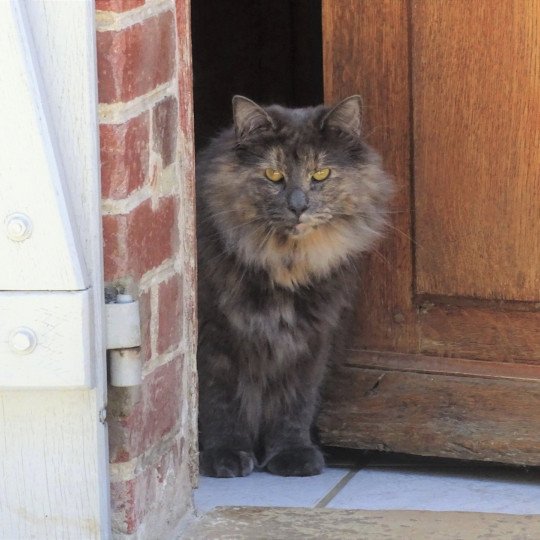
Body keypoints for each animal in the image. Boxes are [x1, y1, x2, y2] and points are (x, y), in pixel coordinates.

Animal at [196, 96, 390, 476]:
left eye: (320, 174)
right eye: (274, 175)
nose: (298, 206)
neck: (285, 262)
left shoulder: (311, 337)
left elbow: (295, 402)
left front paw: (292, 455)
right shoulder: (213, 337)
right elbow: (219, 402)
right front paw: (225, 455)